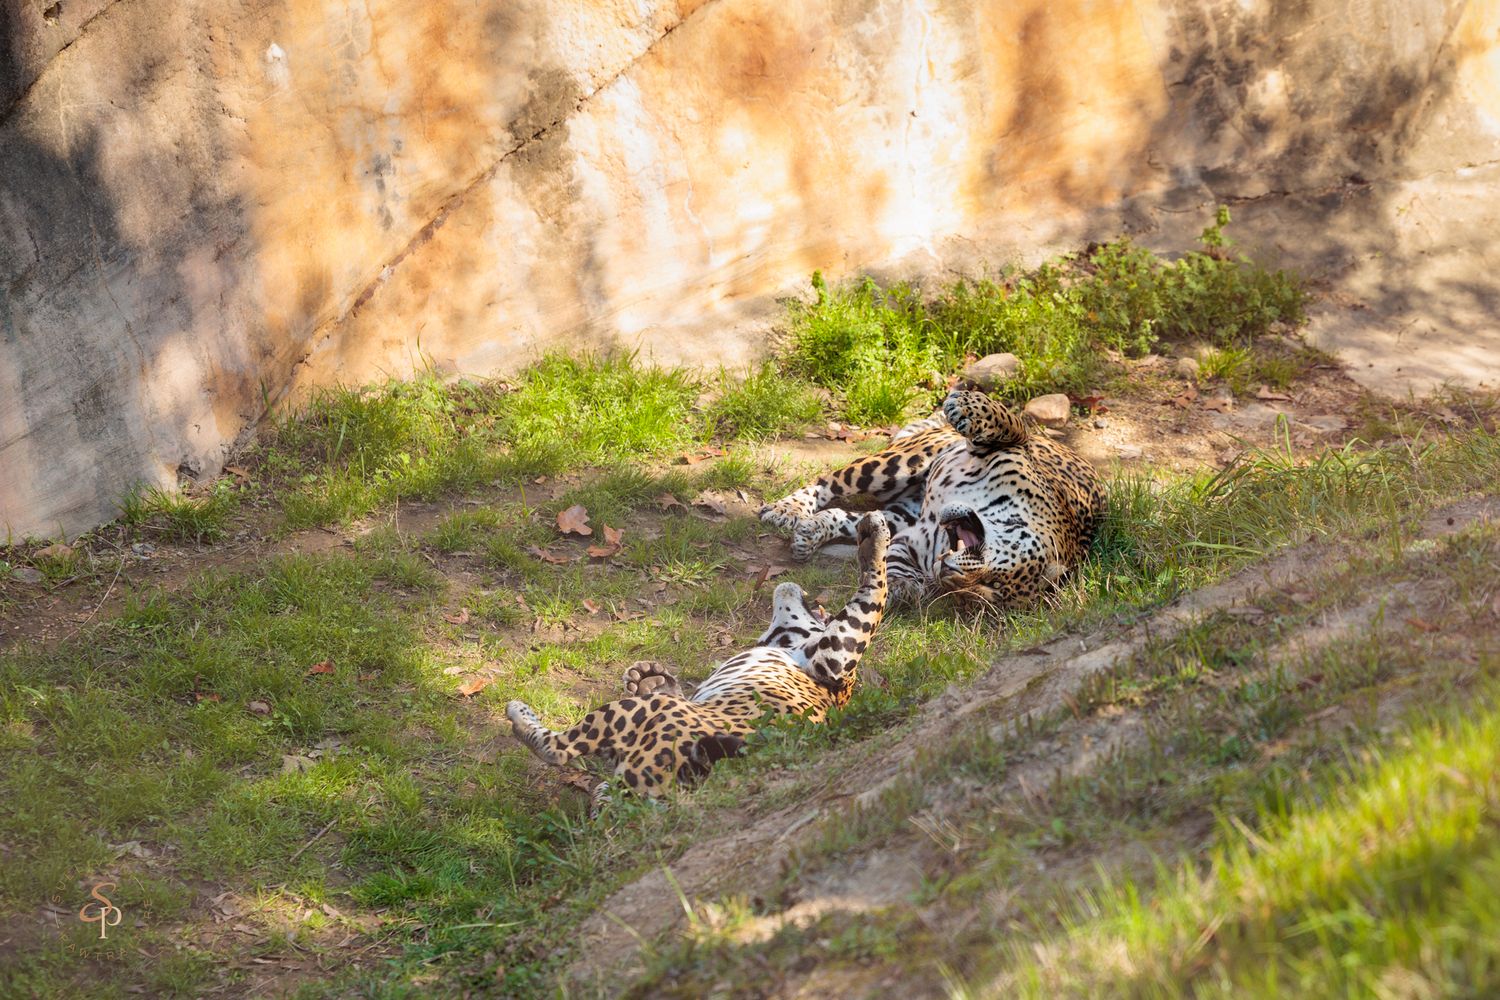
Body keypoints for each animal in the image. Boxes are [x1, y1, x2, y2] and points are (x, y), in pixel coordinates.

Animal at [506, 511, 890, 809]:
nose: (788, 581)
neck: (788, 643)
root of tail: (690, 778)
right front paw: (649, 675)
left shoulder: (835, 656)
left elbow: (874, 596)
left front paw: (876, 537)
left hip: (645, 715)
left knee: (558, 748)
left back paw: (522, 717)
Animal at [759, 386, 1106, 608]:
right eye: (994, 581)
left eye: (982, 593)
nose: (949, 575)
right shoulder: (1018, 447)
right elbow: (1009, 422)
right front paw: (965, 404)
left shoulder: (911, 541)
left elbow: (896, 562)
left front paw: (903, 589)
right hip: (895, 464)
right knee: (827, 482)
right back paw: (786, 509)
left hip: (900, 512)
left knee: (850, 519)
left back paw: (809, 533)